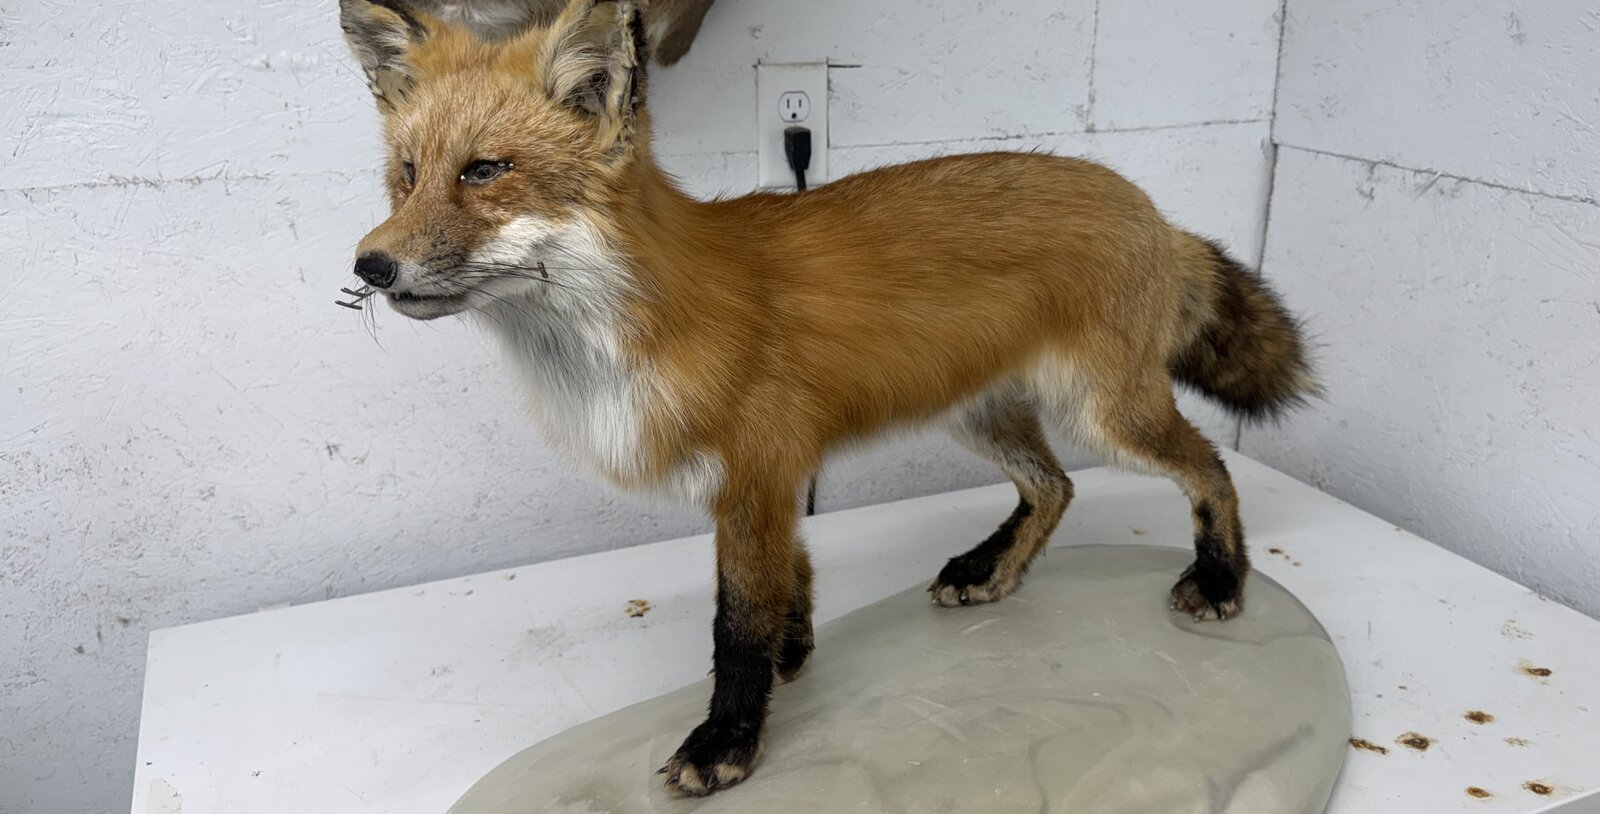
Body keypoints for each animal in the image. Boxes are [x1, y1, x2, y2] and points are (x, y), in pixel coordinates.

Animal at [338, 0, 1315, 797]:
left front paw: (728, 741)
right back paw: (990, 571)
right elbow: (791, 579)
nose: (369, 265)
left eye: (484, 171)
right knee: (1056, 487)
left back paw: (1221, 576)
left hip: (1106, 415)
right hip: (982, 414)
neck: (628, 336)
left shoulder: (755, 474)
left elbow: (736, 626)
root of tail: (1148, 206)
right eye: (408, 173)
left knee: (1209, 466)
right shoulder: (773, 481)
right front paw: (794, 654)